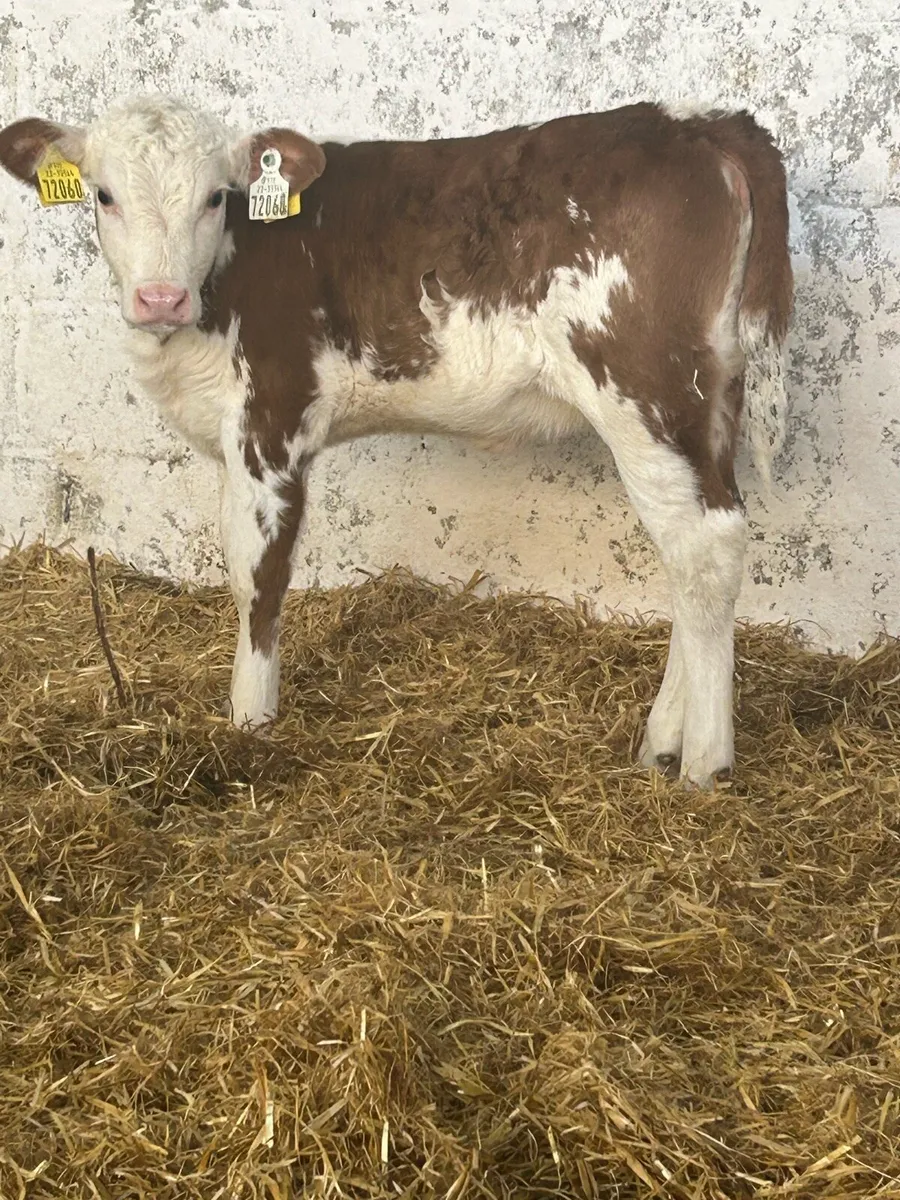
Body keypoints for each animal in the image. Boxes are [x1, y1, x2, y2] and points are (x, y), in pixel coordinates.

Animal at [0, 94, 792, 788]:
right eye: (103, 195)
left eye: (215, 198)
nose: (159, 298)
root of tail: (697, 121)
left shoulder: (272, 419)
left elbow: (259, 575)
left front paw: (249, 722)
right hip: (709, 397)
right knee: (696, 553)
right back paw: (662, 742)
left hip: (644, 385)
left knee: (705, 547)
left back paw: (703, 763)